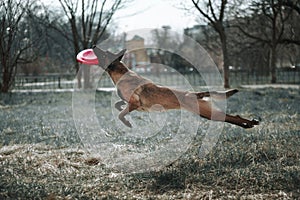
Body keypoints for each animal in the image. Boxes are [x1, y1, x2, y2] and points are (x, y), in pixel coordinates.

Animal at [92, 45, 258, 128]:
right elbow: (118, 106)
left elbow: (120, 115)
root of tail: (195, 94)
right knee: (231, 117)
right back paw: (249, 124)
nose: (93, 45)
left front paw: (126, 123)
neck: (121, 73)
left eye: (105, 53)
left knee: (231, 117)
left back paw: (250, 123)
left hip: (206, 113)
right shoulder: (130, 103)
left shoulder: (134, 102)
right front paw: (121, 109)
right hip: (206, 112)